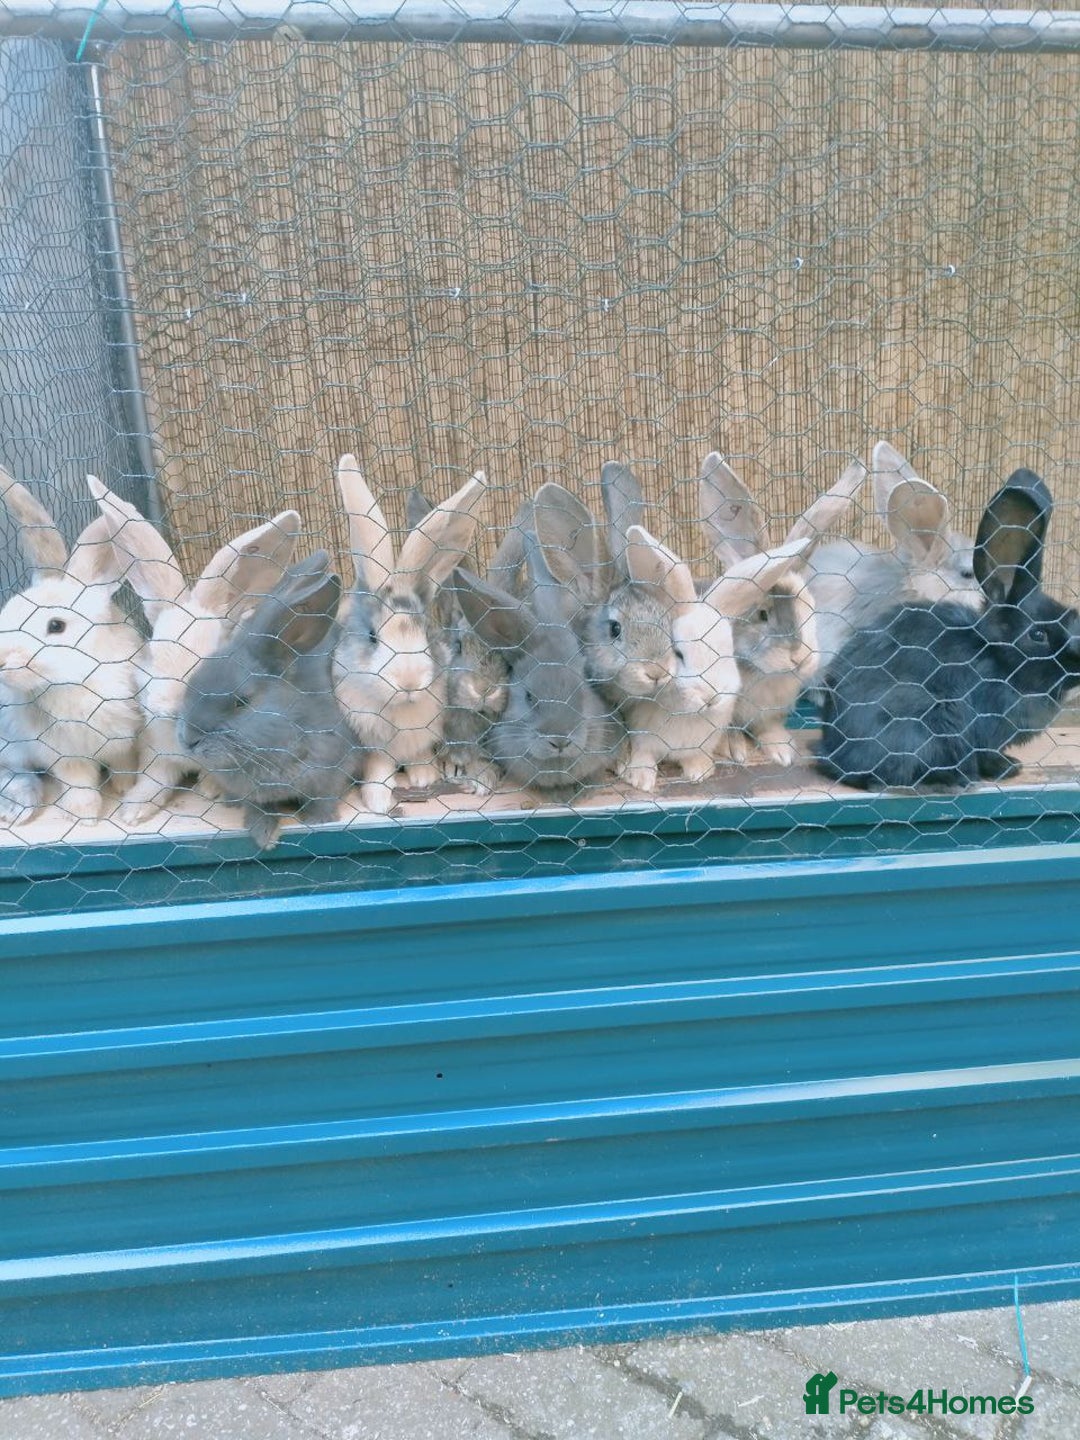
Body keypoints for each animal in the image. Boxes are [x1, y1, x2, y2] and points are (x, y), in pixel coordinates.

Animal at [0, 465, 143, 824]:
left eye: (56, 626)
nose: (1, 660)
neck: (72, 682)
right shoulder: (64, 757)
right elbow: (79, 784)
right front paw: (84, 816)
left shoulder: (123, 740)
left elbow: (124, 766)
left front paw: (123, 789)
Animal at [90, 476, 302, 824]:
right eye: (153, 654)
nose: (167, 708)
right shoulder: (156, 754)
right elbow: (156, 780)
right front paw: (133, 811)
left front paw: (209, 790)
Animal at [177, 551, 360, 850]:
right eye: (190, 685)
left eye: (242, 702)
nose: (189, 740)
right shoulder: (252, 795)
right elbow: (258, 808)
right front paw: (264, 835)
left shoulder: (334, 768)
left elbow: (324, 797)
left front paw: (319, 820)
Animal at [332, 455, 488, 814]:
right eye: (372, 636)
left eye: (425, 631)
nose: (409, 681)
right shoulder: (371, 744)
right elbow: (377, 768)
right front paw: (377, 800)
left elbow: (419, 756)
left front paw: (424, 777)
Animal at [699, 450, 867, 765]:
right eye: (762, 614)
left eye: (810, 605)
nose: (799, 657)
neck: (763, 673)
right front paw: (734, 750)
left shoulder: (771, 713)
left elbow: (767, 728)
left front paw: (781, 750)